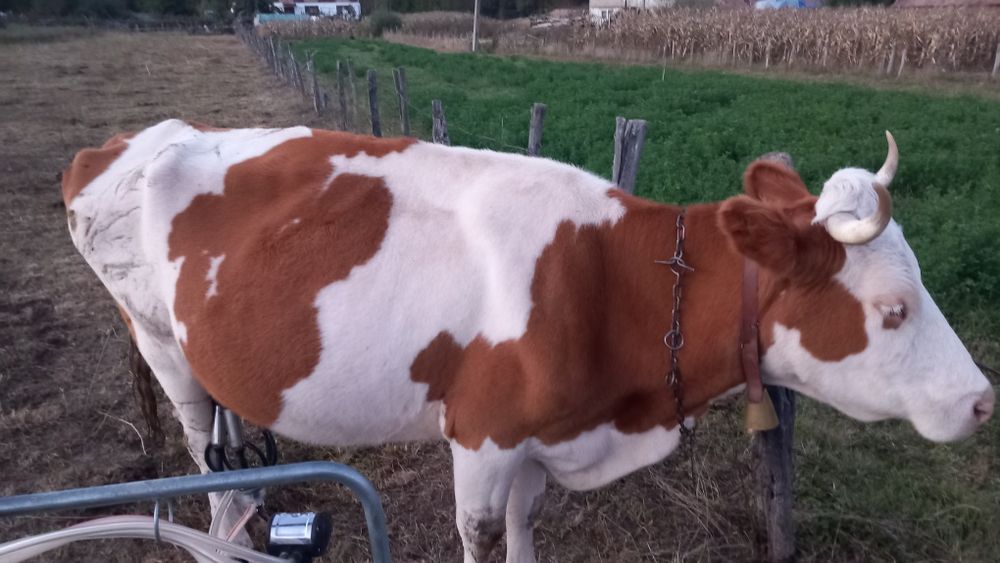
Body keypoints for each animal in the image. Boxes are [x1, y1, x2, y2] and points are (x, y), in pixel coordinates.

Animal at [61, 119, 994, 562]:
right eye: (895, 308)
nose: (984, 400)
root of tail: (134, 138)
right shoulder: (480, 435)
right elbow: (479, 533)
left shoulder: (542, 437)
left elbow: (525, 527)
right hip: (163, 346)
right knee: (204, 457)